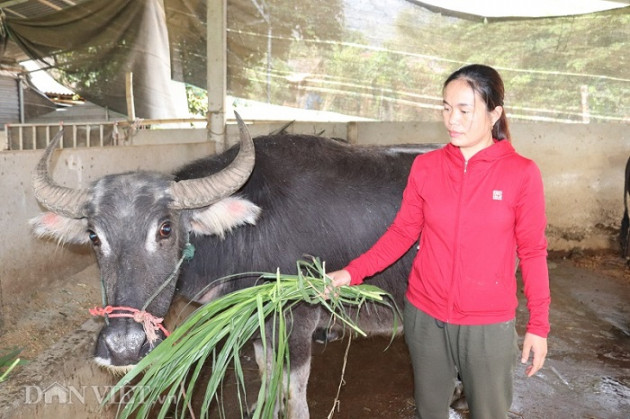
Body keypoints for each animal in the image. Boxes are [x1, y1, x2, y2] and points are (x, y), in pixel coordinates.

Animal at [29, 114, 442, 416]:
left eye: (165, 229)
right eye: (94, 236)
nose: (125, 347)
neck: (248, 233)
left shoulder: (297, 321)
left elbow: (294, 393)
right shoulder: (257, 323)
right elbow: (266, 373)